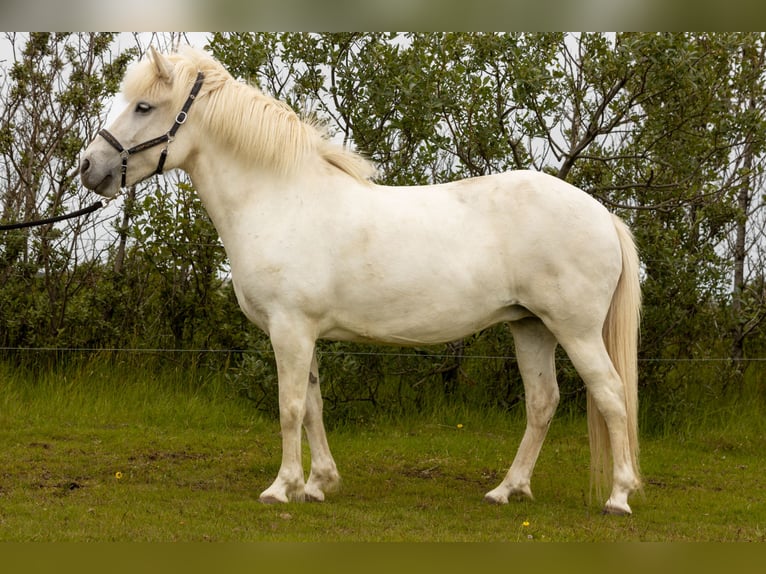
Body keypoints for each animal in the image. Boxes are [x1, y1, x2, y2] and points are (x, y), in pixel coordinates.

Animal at [80, 47, 642, 515]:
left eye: (144, 107)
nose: (89, 167)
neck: (280, 198)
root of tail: (603, 215)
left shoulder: (289, 329)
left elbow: (289, 408)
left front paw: (280, 488)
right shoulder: (303, 333)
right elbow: (313, 407)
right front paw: (317, 484)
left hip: (575, 330)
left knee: (611, 395)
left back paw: (618, 497)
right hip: (530, 327)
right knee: (542, 403)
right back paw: (506, 489)